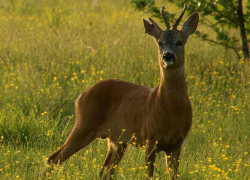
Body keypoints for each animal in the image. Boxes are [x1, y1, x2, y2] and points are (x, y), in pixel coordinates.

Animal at [47, 5, 199, 180]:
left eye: (179, 42)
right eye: (160, 42)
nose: (167, 55)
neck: (171, 110)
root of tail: (81, 96)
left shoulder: (177, 143)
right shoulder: (150, 138)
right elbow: (149, 175)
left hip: (117, 140)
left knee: (104, 171)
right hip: (84, 125)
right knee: (53, 159)